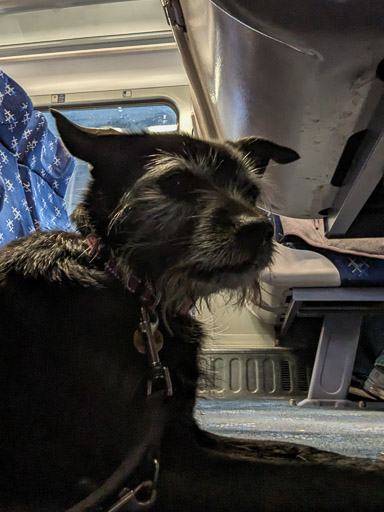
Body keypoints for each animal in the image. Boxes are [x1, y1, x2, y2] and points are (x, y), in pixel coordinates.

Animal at [0, 113, 382, 512]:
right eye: (178, 181)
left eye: (251, 193)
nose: (260, 230)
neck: (129, 285)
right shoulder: (158, 466)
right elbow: (306, 476)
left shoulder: (180, 430)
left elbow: (295, 451)